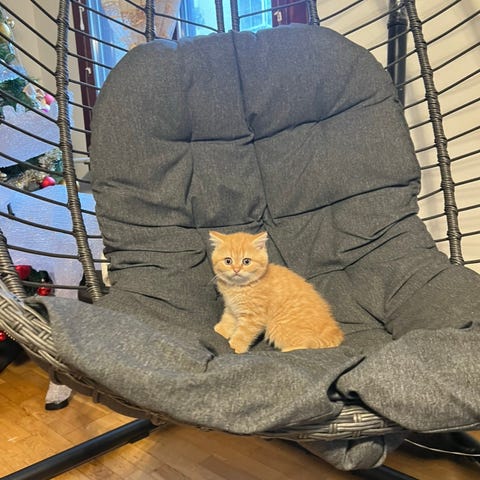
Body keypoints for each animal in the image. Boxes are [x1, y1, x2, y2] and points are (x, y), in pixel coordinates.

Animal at [209, 231, 344, 353]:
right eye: (228, 261)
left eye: (246, 261)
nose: (236, 270)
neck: (238, 287)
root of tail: (333, 329)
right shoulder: (232, 307)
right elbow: (228, 319)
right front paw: (220, 330)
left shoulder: (254, 317)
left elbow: (244, 333)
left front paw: (236, 345)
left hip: (277, 326)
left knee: (304, 345)